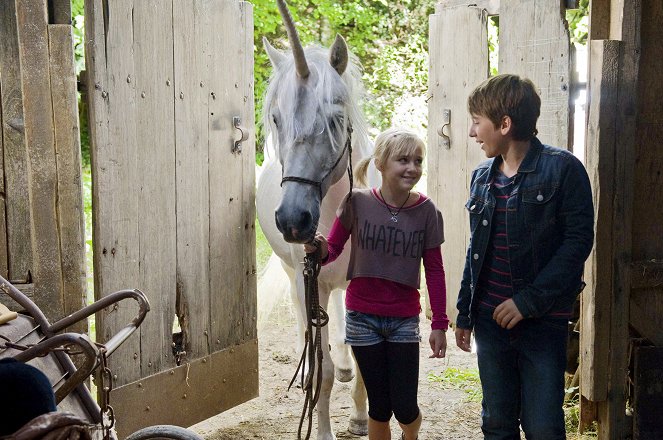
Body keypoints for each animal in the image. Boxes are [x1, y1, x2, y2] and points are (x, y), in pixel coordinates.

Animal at [256, 0, 376, 436]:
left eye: (336, 118)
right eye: (276, 119)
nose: (294, 219)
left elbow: (364, 362)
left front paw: (359, 418)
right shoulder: (311, 283)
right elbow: (320, 377)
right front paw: (323, 430)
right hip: (295, 277)